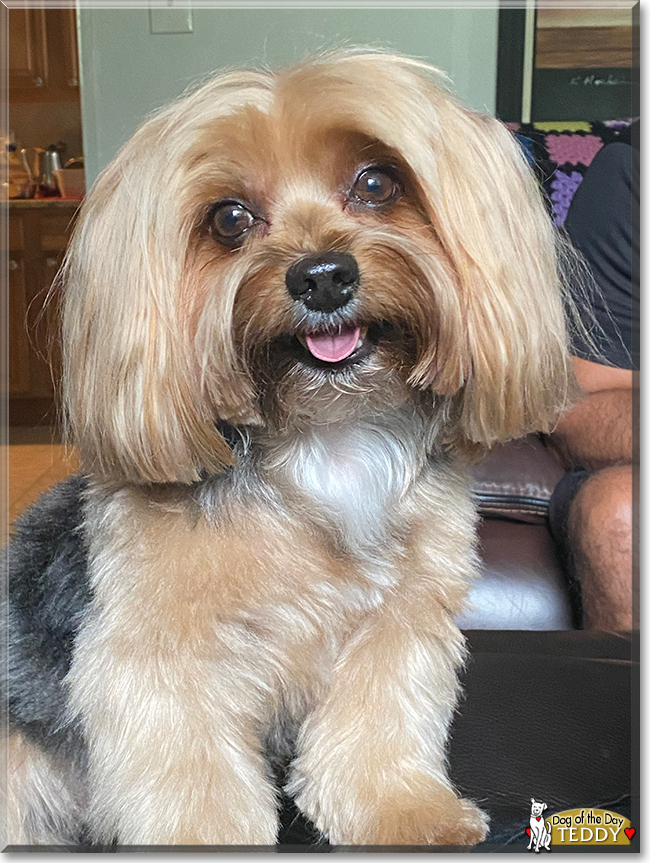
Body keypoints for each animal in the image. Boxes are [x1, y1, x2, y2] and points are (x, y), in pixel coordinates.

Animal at [2, 50, 576, 848]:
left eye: (377, 183)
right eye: (230, 218)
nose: (323, 276)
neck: (324, 438)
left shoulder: (396, 624)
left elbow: (375, 729)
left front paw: (407, 813)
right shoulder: (160, 656)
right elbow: (194, 782)